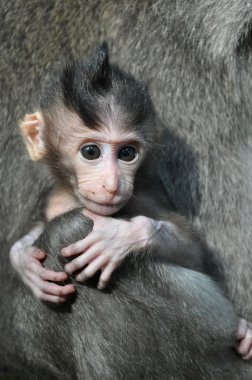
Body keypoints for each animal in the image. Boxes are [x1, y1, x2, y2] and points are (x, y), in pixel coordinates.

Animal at [1, 0, 252, 378]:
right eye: (91, 152)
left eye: (127, 153)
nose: (112, 184)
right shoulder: (49, 196)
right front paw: (23, 260)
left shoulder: (145, 194)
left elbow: (192, 250)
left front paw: (120, 238)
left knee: (69, 229)